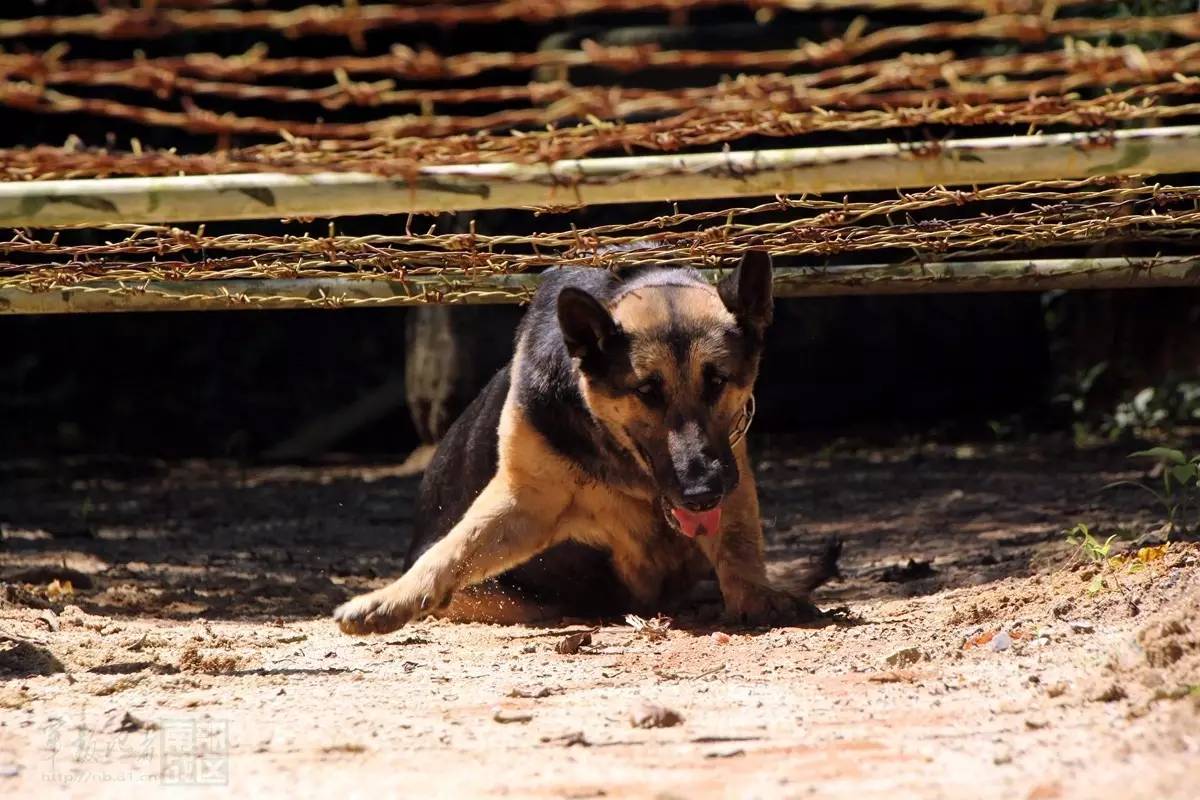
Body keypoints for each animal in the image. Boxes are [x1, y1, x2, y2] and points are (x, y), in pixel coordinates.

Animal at [338, 253, 840, 633]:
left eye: (717, 381)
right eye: (646, 391)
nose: (700, 494)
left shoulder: (731, 467)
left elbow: (738, 542)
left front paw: (756, 596)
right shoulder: (523, 501)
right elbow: (452, 551)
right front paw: (390, 599)